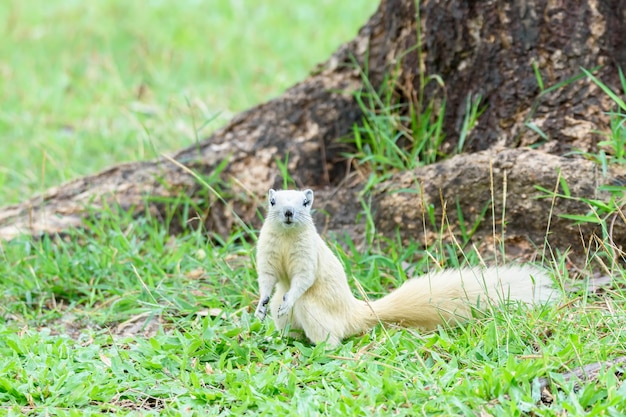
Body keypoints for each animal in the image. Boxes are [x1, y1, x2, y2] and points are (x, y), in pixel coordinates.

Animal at [251, 188, 552, 344]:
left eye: (305, 202)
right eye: (273, 201)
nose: (288, 213)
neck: (287, 238)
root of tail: (356, 314)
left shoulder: (308, 256)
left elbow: (303, 278)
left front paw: (289, 298)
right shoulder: (266, 254)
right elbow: (266, 280)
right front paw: (259, 307)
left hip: (313, 308)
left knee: (329, 335)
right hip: (286, 317)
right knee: (286, 321)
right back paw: (278, 338)